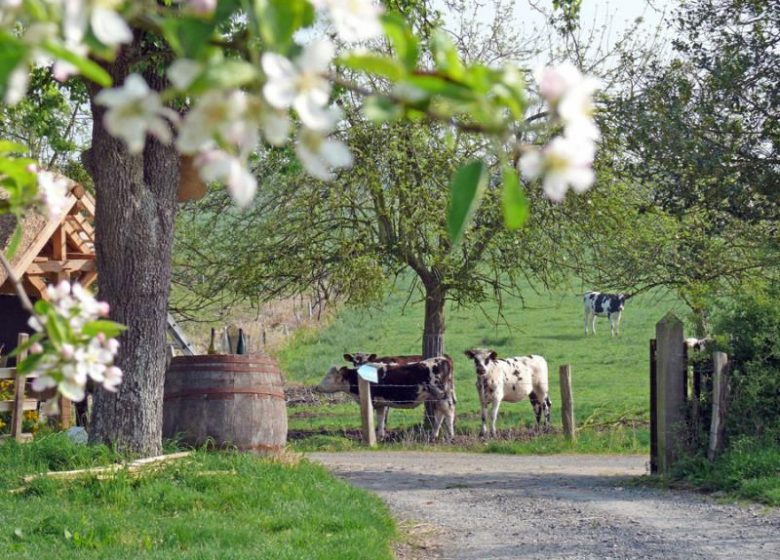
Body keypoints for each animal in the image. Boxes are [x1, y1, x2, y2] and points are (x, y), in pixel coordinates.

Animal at [316, 354, 458, 442]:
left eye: (328, 377)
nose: (317, 387)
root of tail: (443, 358)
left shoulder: (371, 400)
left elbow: (374, 418)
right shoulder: (381, 403)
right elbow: (381, 418)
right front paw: (381, 436)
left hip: (442, 395)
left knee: (448, 412)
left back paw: (450, 436)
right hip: (435, 397)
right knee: (439, 414)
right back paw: (434, 436)